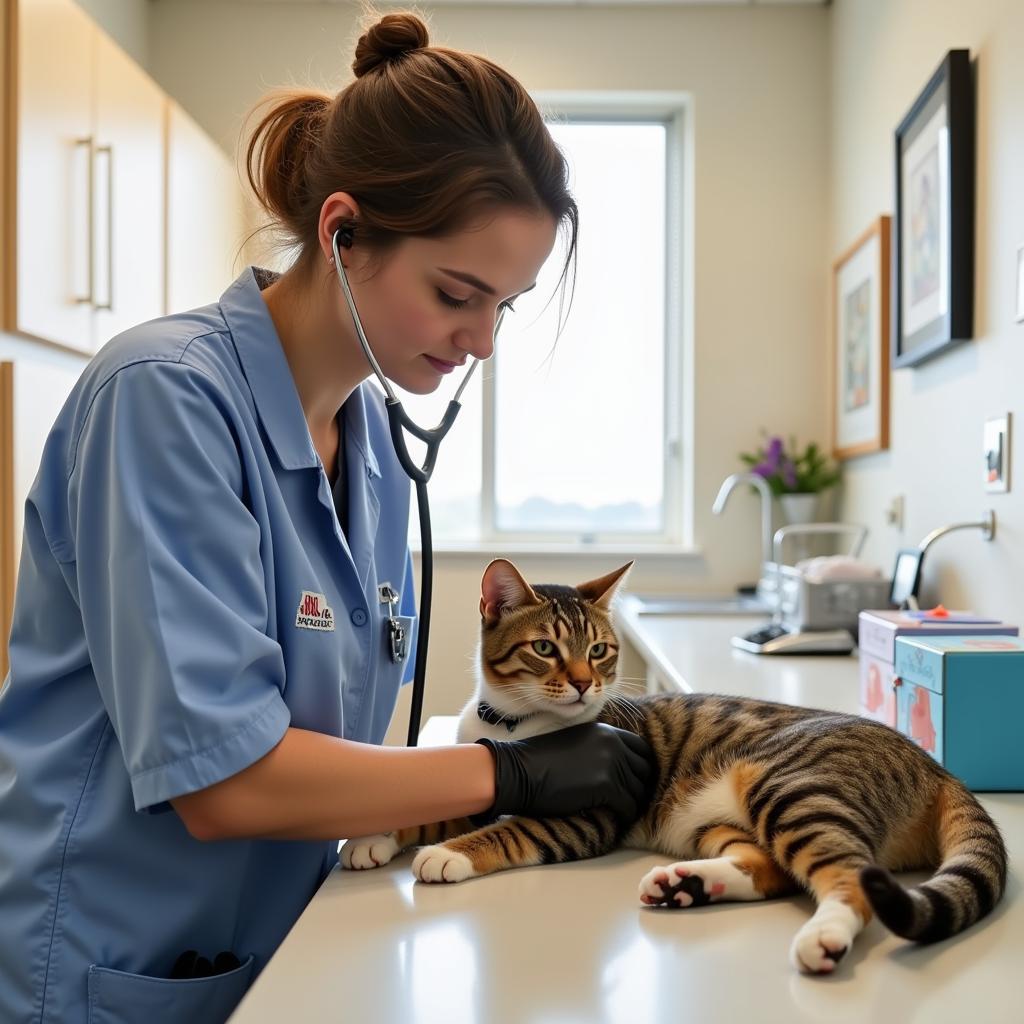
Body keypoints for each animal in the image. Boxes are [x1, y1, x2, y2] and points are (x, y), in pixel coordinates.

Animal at [342, 557, 1007, 970]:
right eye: (545, 648)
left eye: (599, 651)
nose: (583, 684)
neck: (515, 729)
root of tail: (937, 768)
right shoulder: (489, 775)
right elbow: (433, 807)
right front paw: (373, 838)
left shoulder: (588, 817)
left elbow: (510, 830)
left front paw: (448, 854)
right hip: (715, 821)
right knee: (765, 868)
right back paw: (687, 884)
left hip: (792, 786)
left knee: (849, 878)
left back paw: (823, 936)